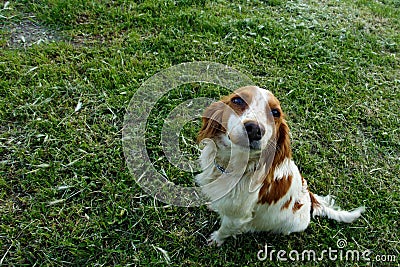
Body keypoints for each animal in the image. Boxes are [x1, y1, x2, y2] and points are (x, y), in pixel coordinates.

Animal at [195, 86, 364, 247]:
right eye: (237, 100)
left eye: (275, 112)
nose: (254, 129)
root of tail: (310, 198)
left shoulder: (238, 217)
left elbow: (225, 229)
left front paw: (216, 239)